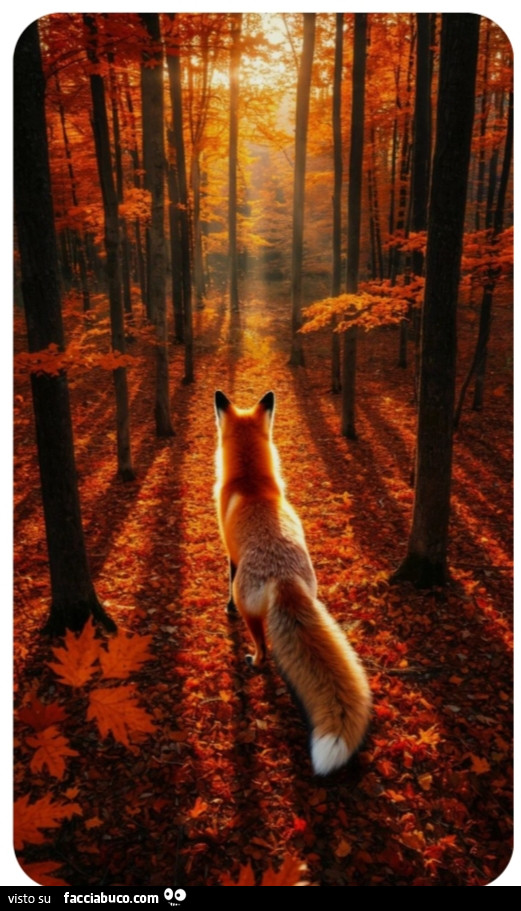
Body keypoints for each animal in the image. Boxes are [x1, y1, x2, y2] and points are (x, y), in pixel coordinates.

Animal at [214, 390, 371, 776]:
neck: (250, 482)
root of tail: (283, 576)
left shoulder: (229, 553)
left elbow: (226, 580)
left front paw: (224, 608)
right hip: (312, 590)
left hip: (251, 613)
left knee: (264, 647)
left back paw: (255, 661)